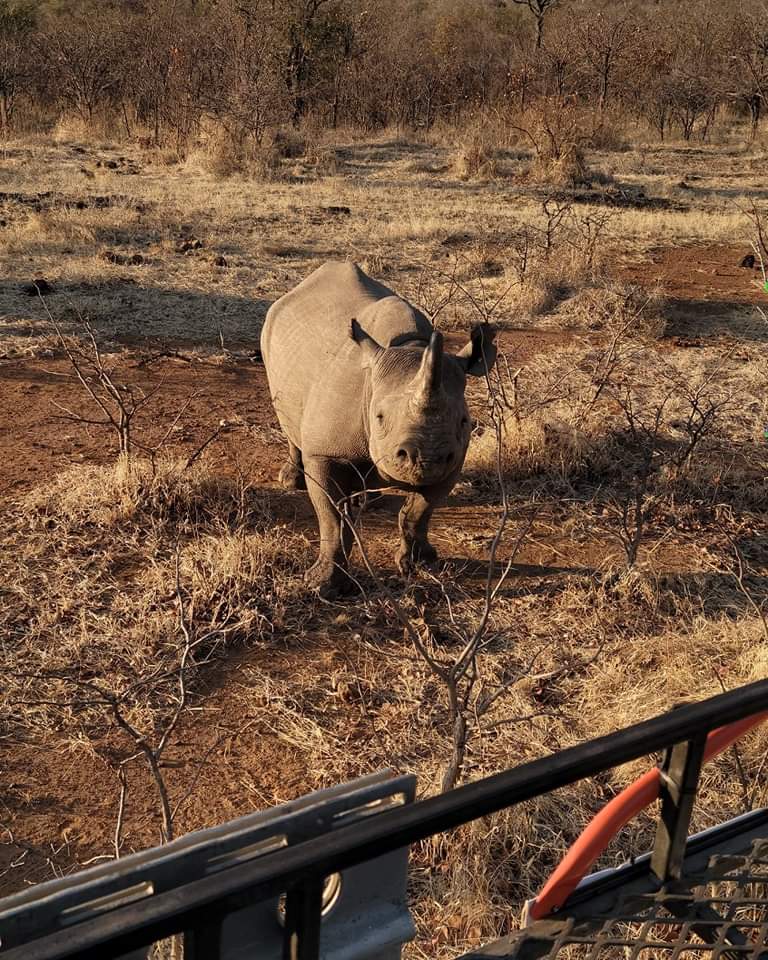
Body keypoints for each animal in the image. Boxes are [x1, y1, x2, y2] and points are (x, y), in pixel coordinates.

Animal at [260, 261, 497, 598]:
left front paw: (421, 565)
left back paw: (367, 501)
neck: (412, 347)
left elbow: (419, 512)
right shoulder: (324, 451)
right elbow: (332, 520)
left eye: (464, 421)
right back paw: (293, 480)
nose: (426, 461)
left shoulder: (454, 460)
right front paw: (324, 584)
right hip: (269, 334)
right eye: (380, 417)